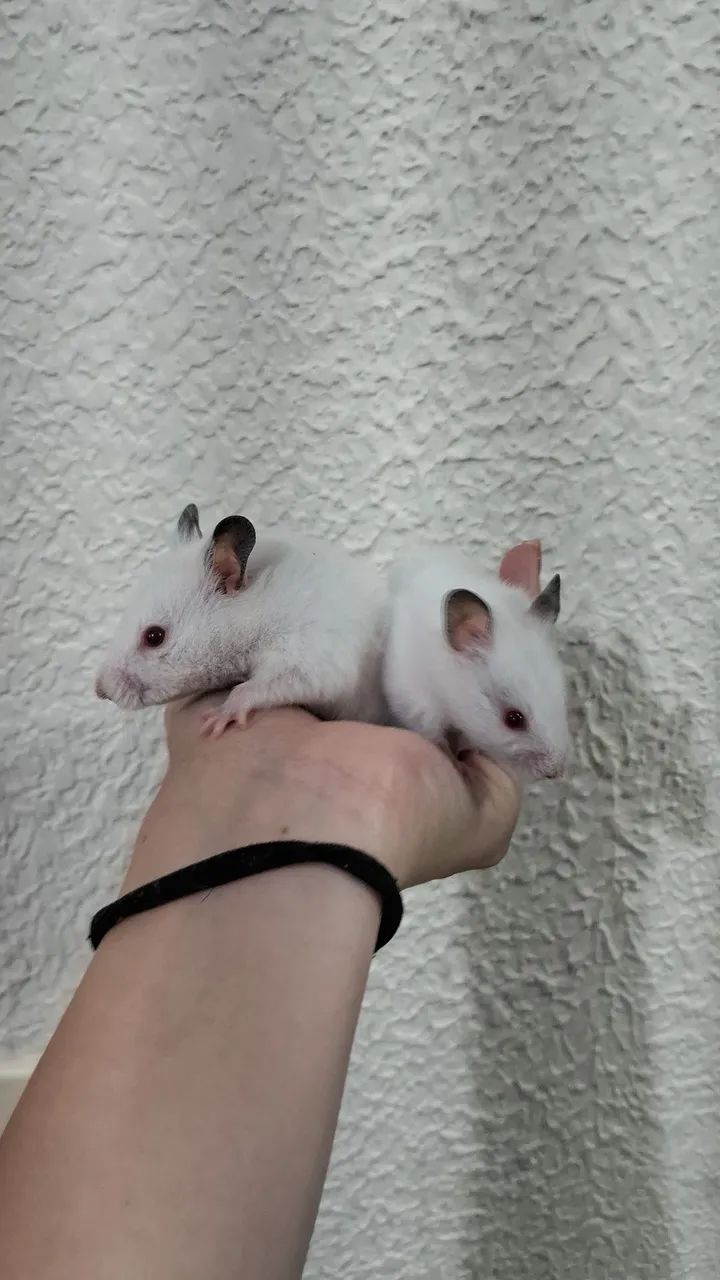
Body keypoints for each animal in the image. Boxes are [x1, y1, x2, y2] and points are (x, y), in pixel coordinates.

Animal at [96, 503, 388, 735]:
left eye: (154, 636)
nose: (100, 691)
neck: (256, 611)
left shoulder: (311, 657)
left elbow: (252, 688)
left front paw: (218, 718)